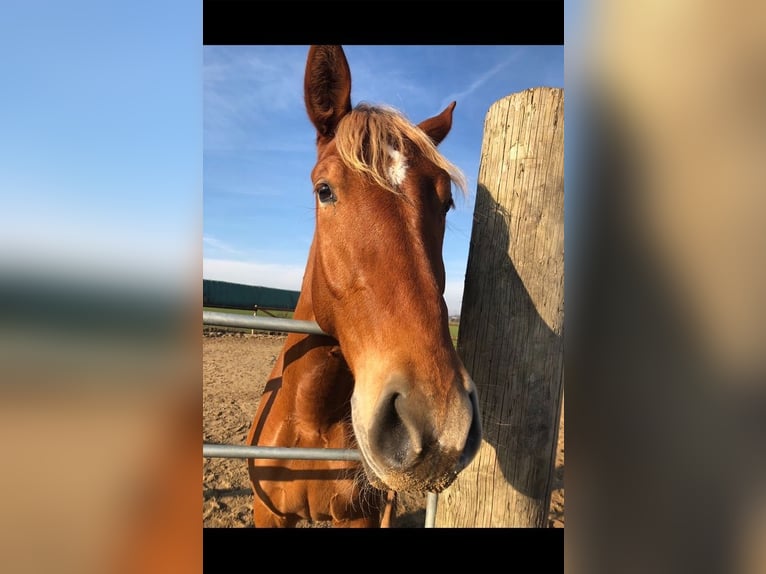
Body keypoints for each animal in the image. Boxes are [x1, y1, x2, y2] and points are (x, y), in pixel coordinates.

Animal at [249, 46, 484, 532]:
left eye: (446, 202)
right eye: (324, 190)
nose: (439, 424)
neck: (309, 418)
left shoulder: (359, 517)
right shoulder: (269, 515)